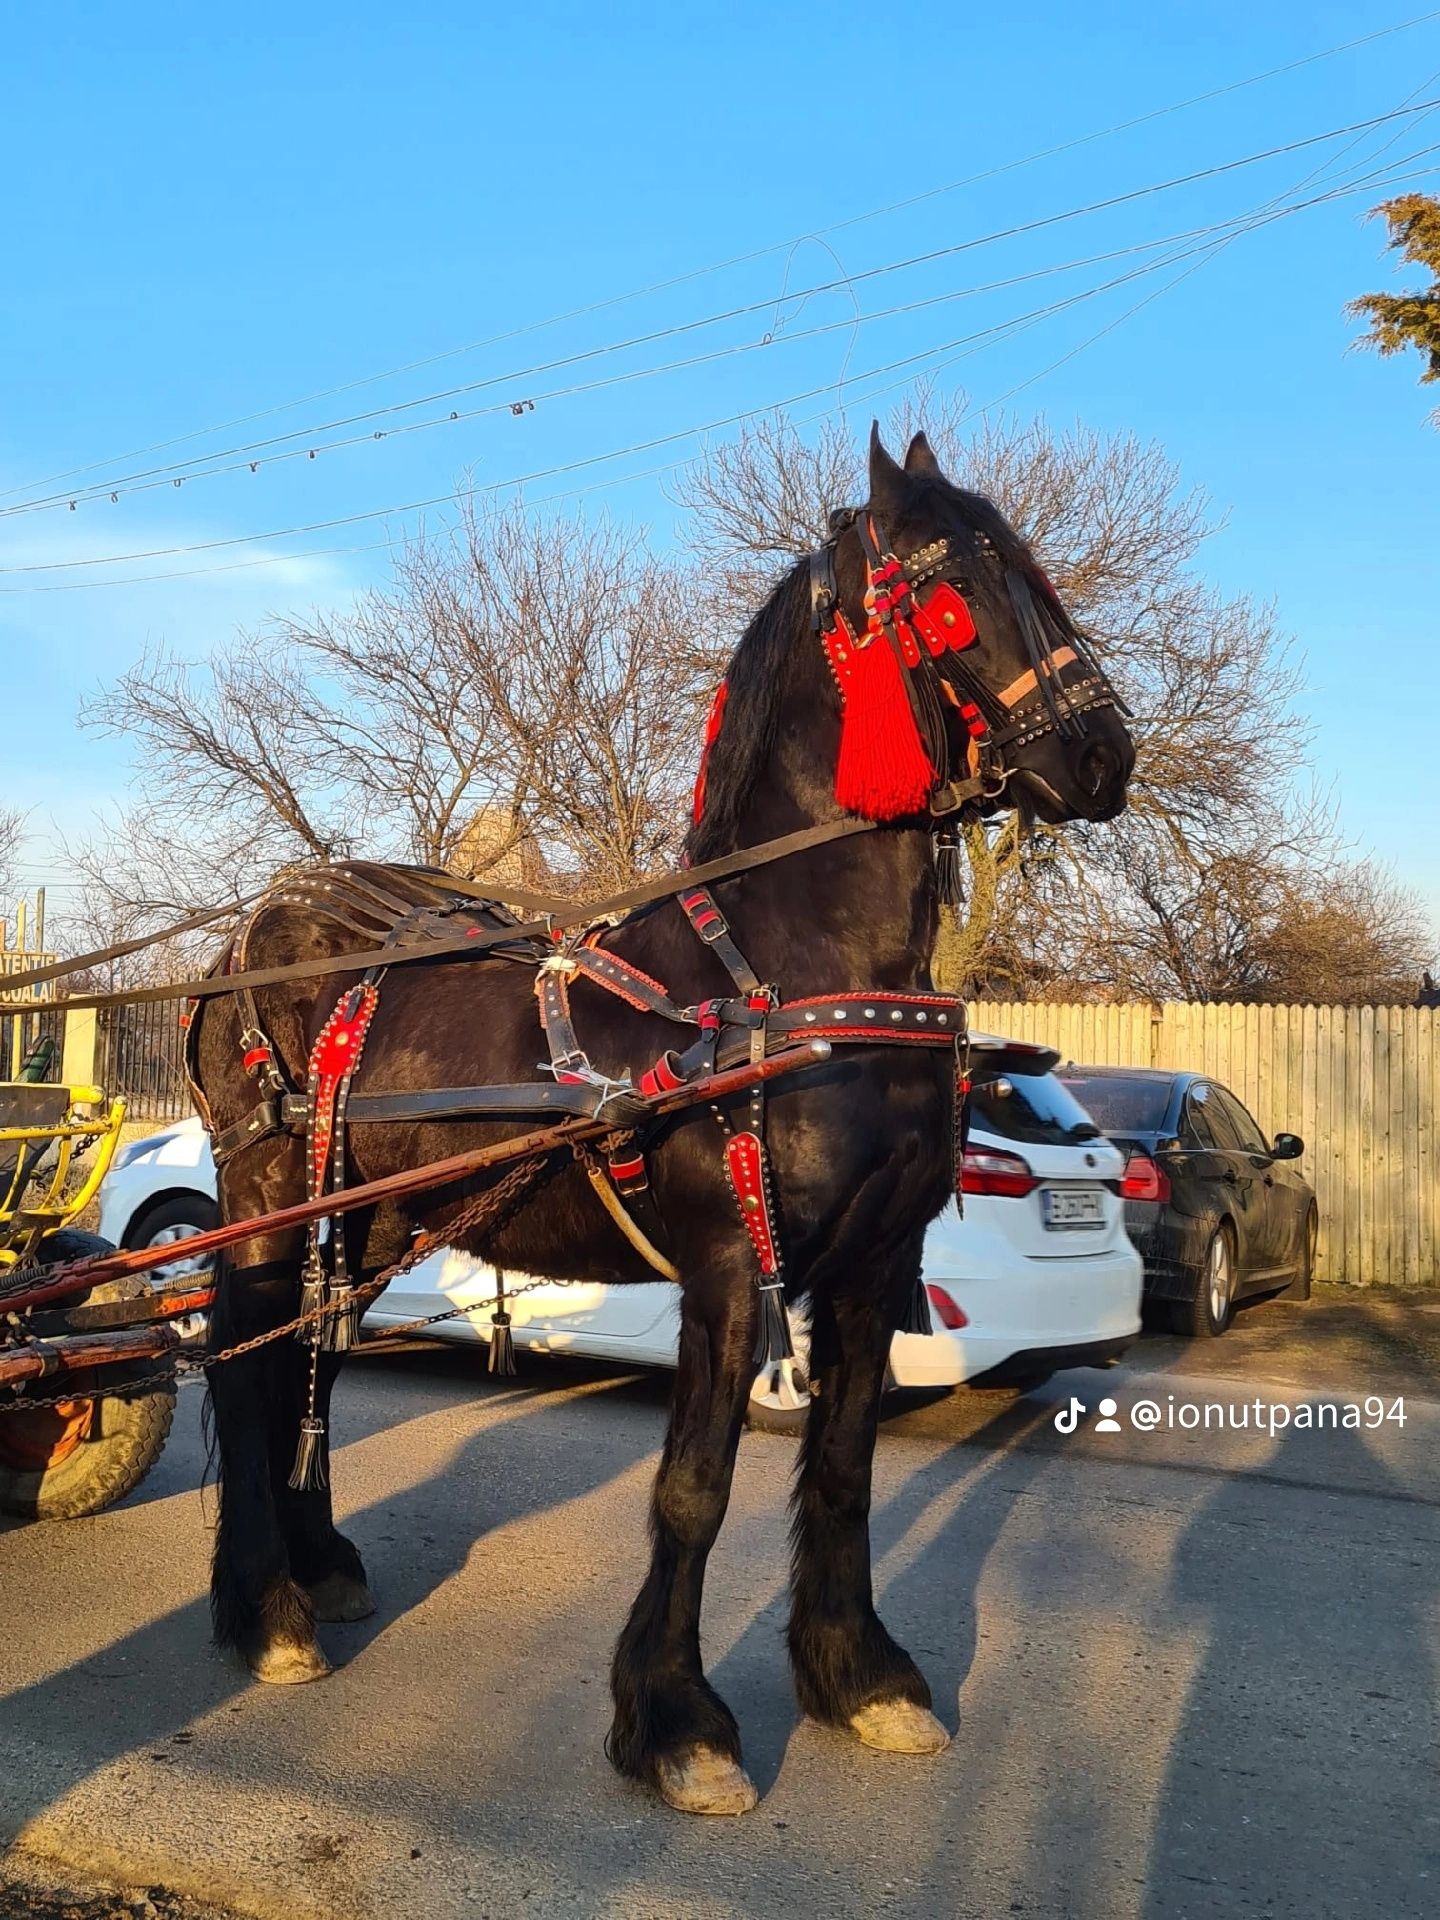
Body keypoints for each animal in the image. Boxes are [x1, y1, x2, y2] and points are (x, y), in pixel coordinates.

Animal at [192, 432, 1136, 1812]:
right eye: (956, 586)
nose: (1108, 755)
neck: (783, 971)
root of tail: (255, 937)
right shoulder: (732, 1268)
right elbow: (695, 1487)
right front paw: (679, 1722)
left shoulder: (872, 1267)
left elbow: (843, 1472)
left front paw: (862, 1679)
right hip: (270, 1202)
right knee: (249, 1368)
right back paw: (266, 1612)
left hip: (367, 1223)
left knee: (306, 1362)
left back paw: (317, 1571)